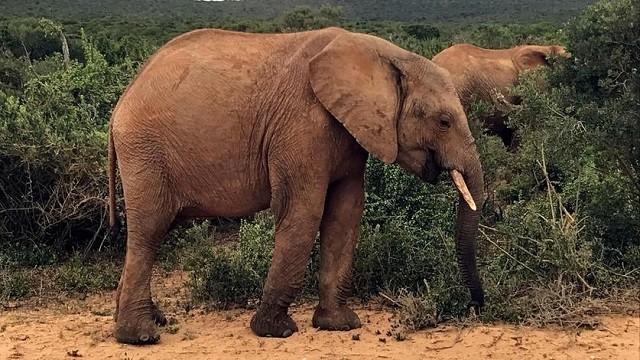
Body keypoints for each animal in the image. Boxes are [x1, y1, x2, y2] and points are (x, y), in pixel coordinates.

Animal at [106, 26, 484, 344]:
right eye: (444, 121)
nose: (476, 307)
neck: (384, 54)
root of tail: (122, 101)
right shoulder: (302, 125)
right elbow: (304, 211)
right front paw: (276, 331)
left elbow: (345, 214)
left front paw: (339, 325)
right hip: (145, 151)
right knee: (149, 231)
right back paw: (141, 336)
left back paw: (152, 320)